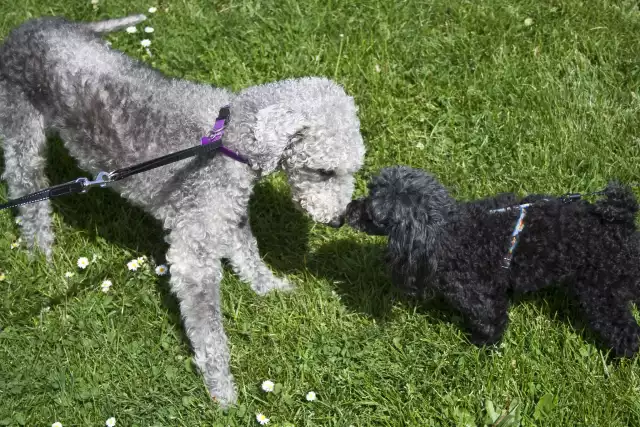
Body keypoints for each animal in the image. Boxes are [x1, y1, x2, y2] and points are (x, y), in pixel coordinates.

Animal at [0, 15, 364, 406]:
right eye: (324, 171)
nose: (338, 219)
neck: (226, 142)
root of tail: (35, 24)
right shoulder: (194, 250)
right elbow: (209, 330)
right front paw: (222, 391)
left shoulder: (226, 211)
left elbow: (248, 252)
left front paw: (270, 287)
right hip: (21, 131)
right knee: (29, 196)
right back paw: (40, 254)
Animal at [348, 167, 636, 358]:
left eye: (370, 212)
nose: (348, 209)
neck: (451, 230)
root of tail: (621, 220)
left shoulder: (480, 296)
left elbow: (489, 321)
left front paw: (481, 348)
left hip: (601, 292)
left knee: (627, 332)